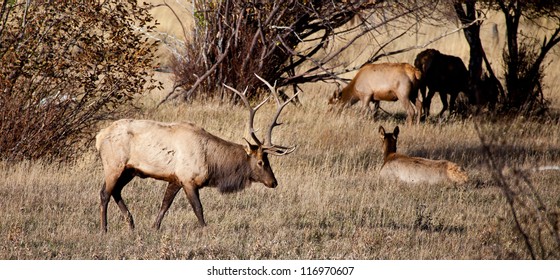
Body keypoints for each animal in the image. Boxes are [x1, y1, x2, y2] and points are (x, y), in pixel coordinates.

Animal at [95, 74, 302, 232]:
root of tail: (99, 136)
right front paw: (205, 230)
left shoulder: (175, 178)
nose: (273, 182)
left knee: (116, 191)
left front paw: (154, 227)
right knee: (105, 192)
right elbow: (198, 208)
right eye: (260, 162)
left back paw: (131, 223)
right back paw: (104, 229)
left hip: (130, 170)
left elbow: (165, 204)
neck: (212, 163)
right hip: (114, 164)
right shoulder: (188, 179)